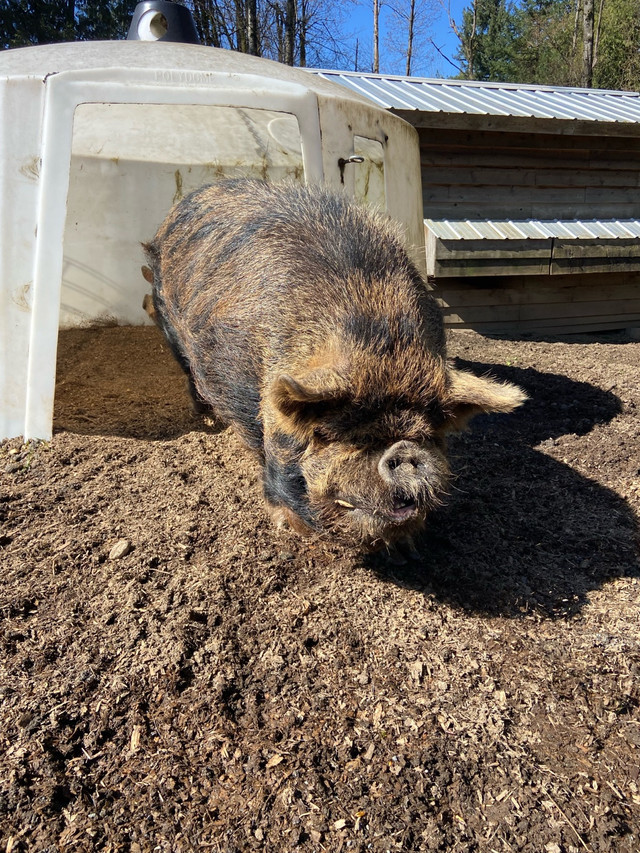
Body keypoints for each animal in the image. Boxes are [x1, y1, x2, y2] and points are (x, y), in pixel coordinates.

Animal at [144, 181, 524, 544]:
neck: (379, 341)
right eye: (340, 435)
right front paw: (287, 526)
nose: (404, 450)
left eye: (427, 434)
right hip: (168, 320)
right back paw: (202, 414)